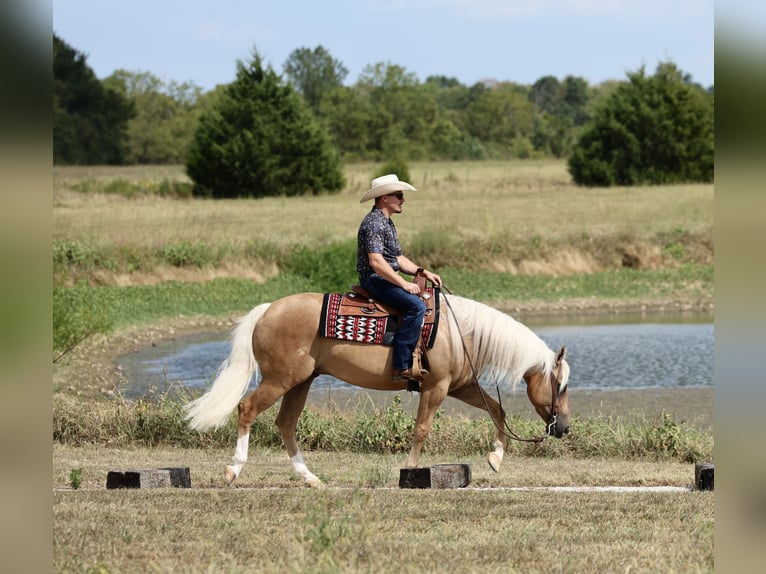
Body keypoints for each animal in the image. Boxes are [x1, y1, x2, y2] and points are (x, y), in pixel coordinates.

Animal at [185, 291, 571, 487]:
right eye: (561, 384)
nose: (564, 428)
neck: (462, 331)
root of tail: (267, 311)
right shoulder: (436, 387)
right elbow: (421, 429)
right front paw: (411, 472)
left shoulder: (459, 386)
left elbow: (498, 410)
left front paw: (495, 458)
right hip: (279, 380)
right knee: (247, 409)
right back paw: (234, 470)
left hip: (300, 382)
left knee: (286, 423)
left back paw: (310, 478)